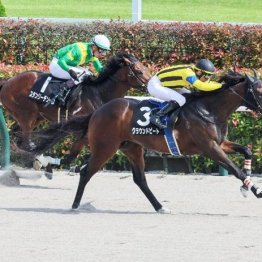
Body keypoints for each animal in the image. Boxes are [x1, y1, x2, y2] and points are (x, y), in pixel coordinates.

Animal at [0, 51, 150, 154]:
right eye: (139, 71)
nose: (150, 84)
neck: (99, 93)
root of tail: (7, 81)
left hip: (36, 117)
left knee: (18, 137)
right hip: (27, 115)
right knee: (25, 140)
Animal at [29, 71, 262, 213]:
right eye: (259, 90)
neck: (209, 110)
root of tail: (98, 111)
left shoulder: (219, 144)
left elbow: (247, 151)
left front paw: (247, 182)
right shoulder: (210, 148)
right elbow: (234, 170)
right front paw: (255, 190)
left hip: (132, 148)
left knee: (140, 179)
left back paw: (160, 207)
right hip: (105, 148)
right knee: (86, 172)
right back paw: (76, 205)